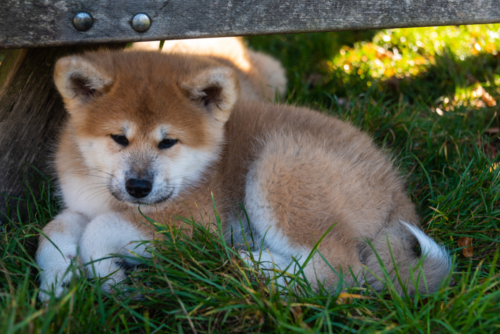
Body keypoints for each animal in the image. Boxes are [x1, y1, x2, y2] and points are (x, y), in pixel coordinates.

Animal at [35, 50, 450, 302]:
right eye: (118, 138)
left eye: (168, 141)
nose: (138, 187)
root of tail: (395, 187)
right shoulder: (80, 205)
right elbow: (52, 232)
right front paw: (55, 284)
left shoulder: (191, 221)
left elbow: (98, 230)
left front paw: (109, 277)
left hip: (279, 168)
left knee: (339, 272)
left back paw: (252, 267)